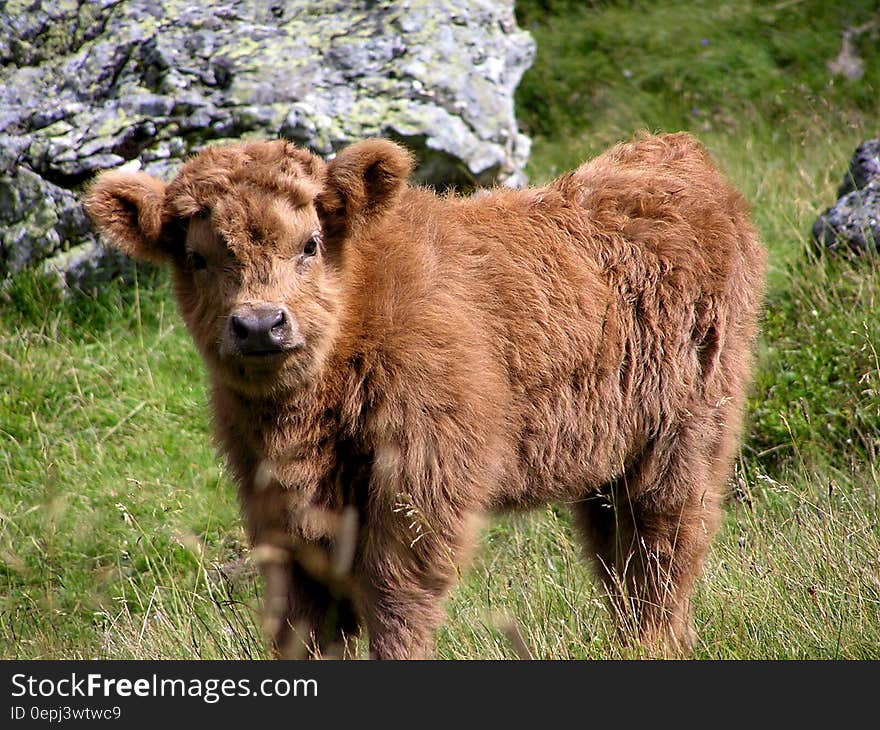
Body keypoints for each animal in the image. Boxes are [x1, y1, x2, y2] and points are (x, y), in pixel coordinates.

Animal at [86, 132, 768, 660]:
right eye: (197, 257)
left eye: (310, 243)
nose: (259, 324)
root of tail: (671, 150)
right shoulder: (276, 505)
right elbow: (304, 619)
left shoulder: (422, 481)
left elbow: (396, 601)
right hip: (607, 457)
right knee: (617, 560)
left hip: (688, 431)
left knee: (664, 549)